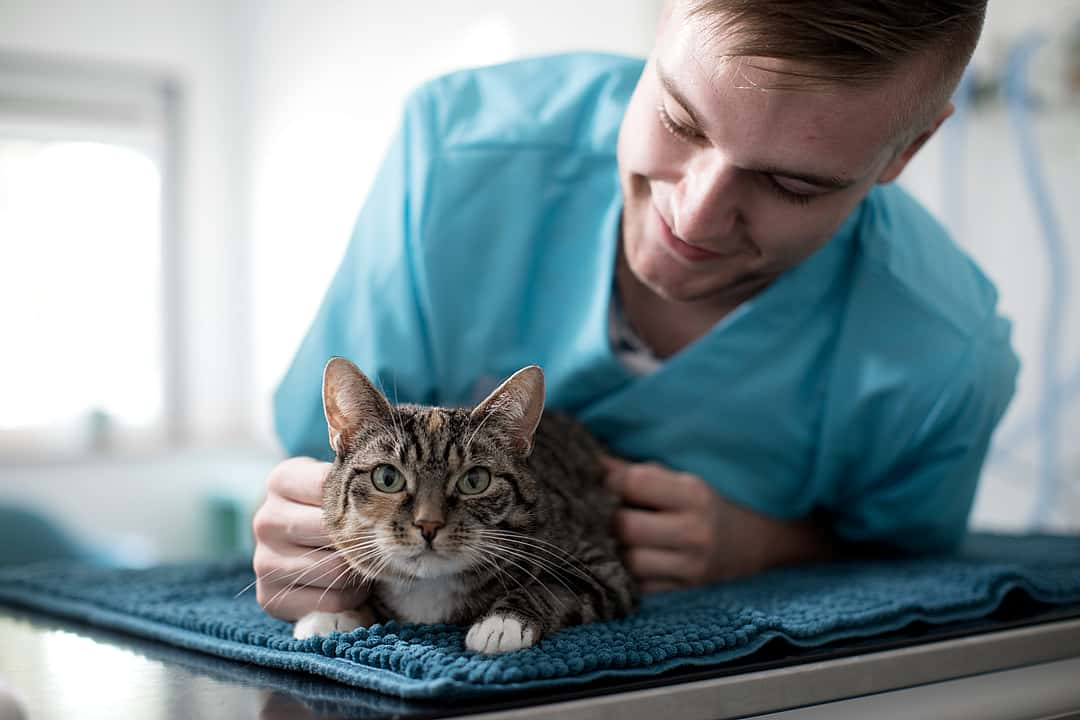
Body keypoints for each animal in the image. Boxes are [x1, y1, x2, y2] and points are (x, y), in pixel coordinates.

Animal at [291, 358, 635, 656]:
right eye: (387, 478)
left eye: (475, 480)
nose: (428, 524)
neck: (430, 590)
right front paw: (334, 614)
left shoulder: (603, 568)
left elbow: (550, 588)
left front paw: (503, 623)